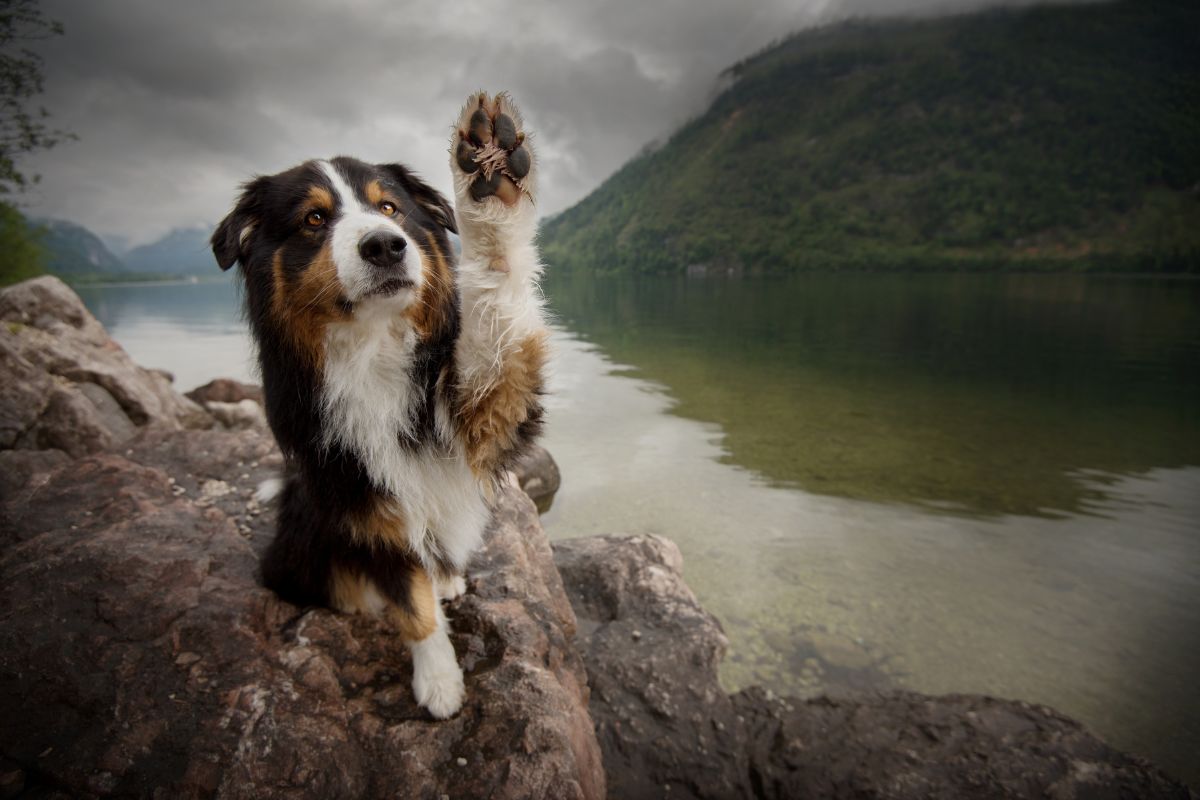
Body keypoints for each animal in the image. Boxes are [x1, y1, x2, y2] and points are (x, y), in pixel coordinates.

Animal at [212, 90, 549, 714]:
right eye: (314, 219)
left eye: (389, 208)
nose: (386, 245)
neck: (372, 345)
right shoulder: (364, 501)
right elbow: (410, 604)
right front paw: (439, 684)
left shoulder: (482, 405)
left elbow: (498, 301)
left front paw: (489, 175)